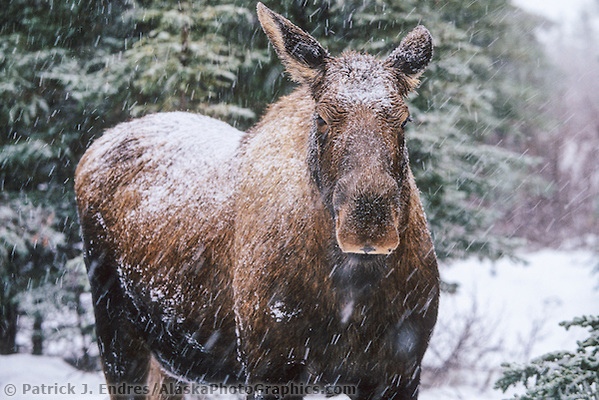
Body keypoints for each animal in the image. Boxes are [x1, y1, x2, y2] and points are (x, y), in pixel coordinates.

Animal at [74, 3, 440, 400]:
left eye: (404, 120)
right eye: (322, 117)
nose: (369, 223)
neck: (352, 293)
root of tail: (93, 150)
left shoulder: (400, 370)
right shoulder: (270, 367)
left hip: (168, 361)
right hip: (114, 329)